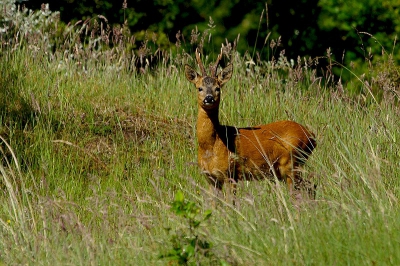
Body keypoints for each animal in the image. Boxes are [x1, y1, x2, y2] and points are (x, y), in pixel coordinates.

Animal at [186, 48, 318, 201]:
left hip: (292, 163)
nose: (209, 98)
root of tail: (311, 135)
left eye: (217, 88)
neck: (212, 145)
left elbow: (230, 202)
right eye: (199, 88)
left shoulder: (231, 173)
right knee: (311, 187)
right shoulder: (211, 178)